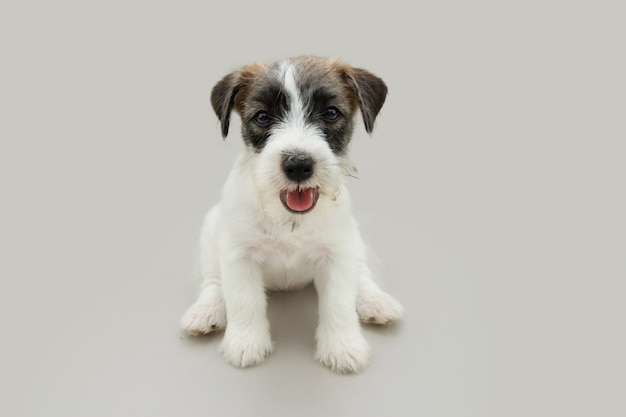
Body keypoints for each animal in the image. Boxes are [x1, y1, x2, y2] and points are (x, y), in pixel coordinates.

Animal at [180, 57, 402, 372]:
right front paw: (246, 342)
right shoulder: (239, 255)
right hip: (212, 230)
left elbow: (339, 302)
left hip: (353, 238)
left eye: (331, 113)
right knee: (213, 280)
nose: (298, 165)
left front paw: (343, 345)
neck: (289, 219)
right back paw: (206, 310)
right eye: (262, 117)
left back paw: (375, 301)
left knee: (361, 273)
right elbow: (243, 300)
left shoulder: (337, 254)